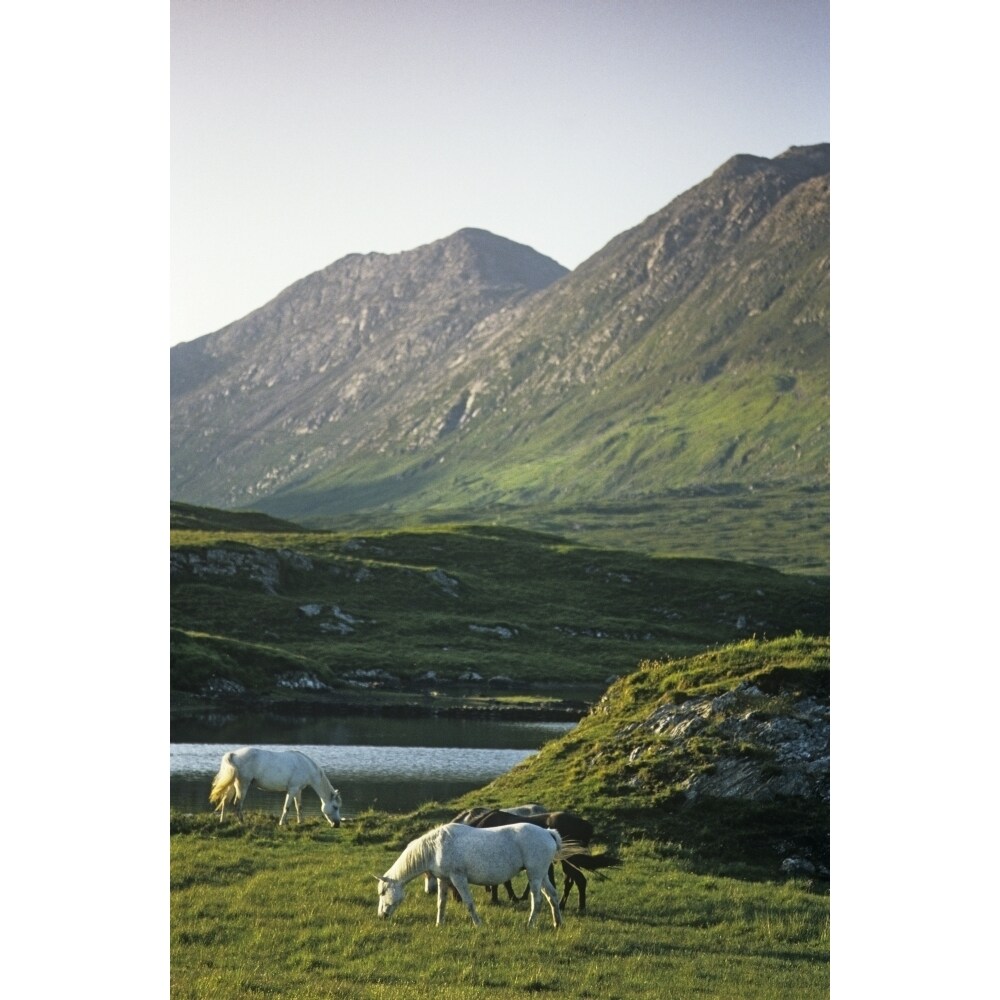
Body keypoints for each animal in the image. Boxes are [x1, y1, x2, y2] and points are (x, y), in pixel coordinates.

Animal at [209, 747, 342, 827]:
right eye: (335, 807)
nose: (337, 824)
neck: (306, 766)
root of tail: (233, 754)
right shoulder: (292, 789)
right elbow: (286, 807)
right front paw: (281, 823)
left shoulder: (298, 790)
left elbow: (299, 807)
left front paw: (300, 822)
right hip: (242, 785)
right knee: (237, 804)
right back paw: (242, 823)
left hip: (232, 785)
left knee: (225, 802)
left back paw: (222, 821)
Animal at [375, 822, 575, 927]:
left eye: (383, 892)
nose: (381, 916)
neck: (436, 847)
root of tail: (548, 832)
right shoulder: (443, 880)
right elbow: (441, 903)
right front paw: (439, 924)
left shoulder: (458, 878)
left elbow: (469, 903)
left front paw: (478, 924)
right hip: (541, 875)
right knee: (552, 896)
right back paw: (558, 923)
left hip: (534, 875)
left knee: (538, 900)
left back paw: (530, 924)